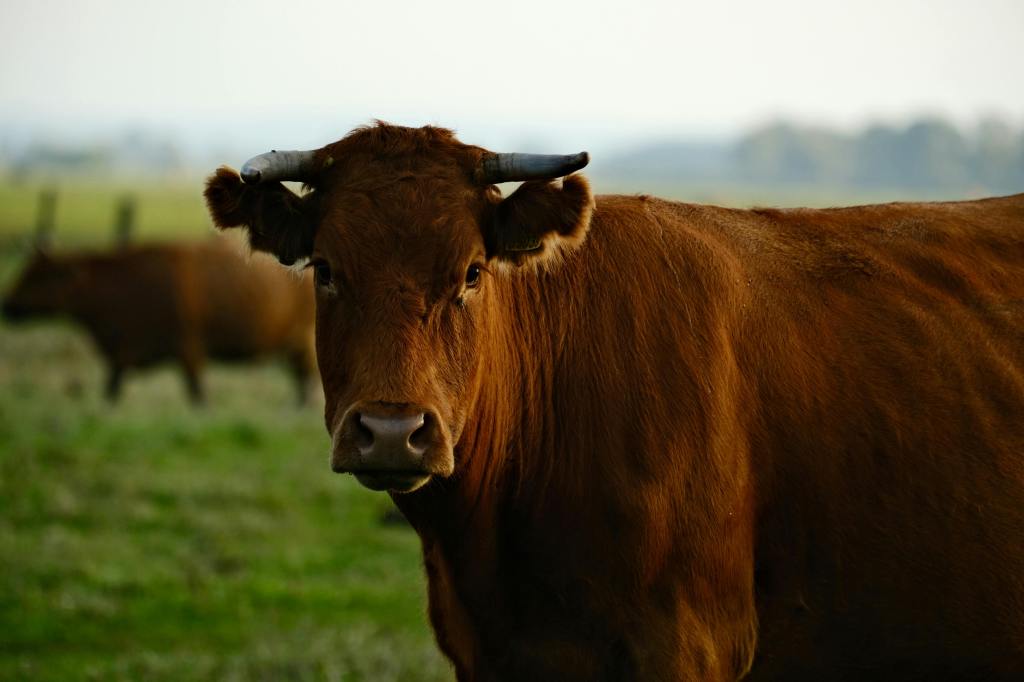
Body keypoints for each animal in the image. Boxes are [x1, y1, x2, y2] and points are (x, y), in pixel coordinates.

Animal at [2, 235, 317, 405]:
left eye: (38, 277)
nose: (6, 305)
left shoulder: (190, 349)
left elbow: (199, 398)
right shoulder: (122, 356)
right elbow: (110, 394)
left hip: (304, 342)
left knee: (306, 385)